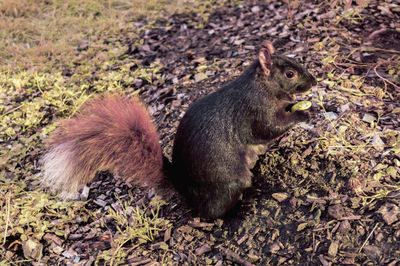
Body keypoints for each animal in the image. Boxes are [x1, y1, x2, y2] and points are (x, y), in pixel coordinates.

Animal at [40, 41, 316, 218]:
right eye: (289, 73)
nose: (314, 81)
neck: (263, 86)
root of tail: (185, 190)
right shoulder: (254, 111)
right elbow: (270, 128)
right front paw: (302, 113)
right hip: (229, 179)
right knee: (211, 214)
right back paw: (241, 206)